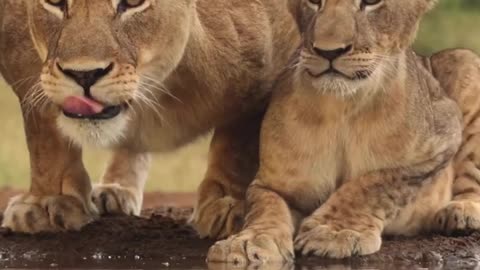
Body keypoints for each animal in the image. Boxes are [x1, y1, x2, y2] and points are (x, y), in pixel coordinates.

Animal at [208, 0, 480, 264]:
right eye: (314, 1)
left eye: (371, 1)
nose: (328, 51)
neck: (342, 107)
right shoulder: (271, 183)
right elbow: (265, 206)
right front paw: (248, 242)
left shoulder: (443, 136)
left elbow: (375, 183)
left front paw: (334, 231)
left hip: (465, 60)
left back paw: (461, 211)